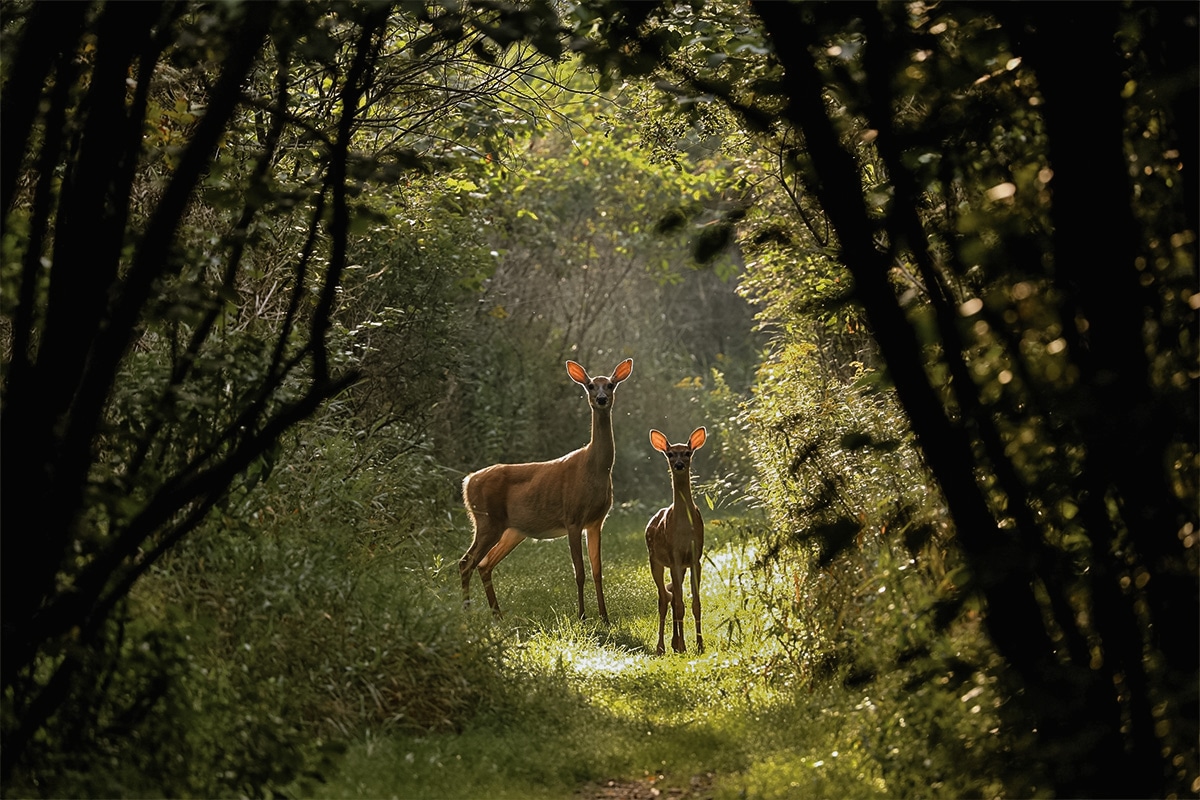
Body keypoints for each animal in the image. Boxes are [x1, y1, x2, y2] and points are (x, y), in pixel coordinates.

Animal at [456, 357, 633, 623]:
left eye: (610, 385)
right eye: (591, 385)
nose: (601, 399)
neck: (594, 469)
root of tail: (467, 482)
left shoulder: (596, 521)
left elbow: (597, 571)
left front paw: (605, 617)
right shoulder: (573, 517)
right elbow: (579, 572)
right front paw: (582, 616)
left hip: (512, 530)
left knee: (484, 564)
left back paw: (497, 615)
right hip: (487, 521)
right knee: (466, 562)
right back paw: (467, 614)